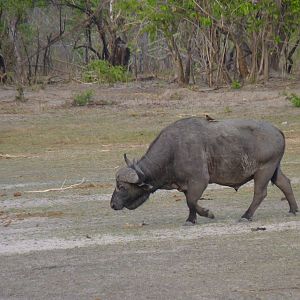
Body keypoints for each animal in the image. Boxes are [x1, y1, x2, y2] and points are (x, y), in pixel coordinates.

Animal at [110, 117, 298, 225]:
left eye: (122, 187)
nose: (112, 204)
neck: (173, 151)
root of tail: (277, 130)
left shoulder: (199, 180)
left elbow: (192, 201)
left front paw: (207, 213)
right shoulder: (187, 185)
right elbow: (190, 202)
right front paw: (191, 219)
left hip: (264, 170)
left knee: (260, 193)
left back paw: (246, 215)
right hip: (274, 169)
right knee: (285, 183)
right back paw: (293, 210)